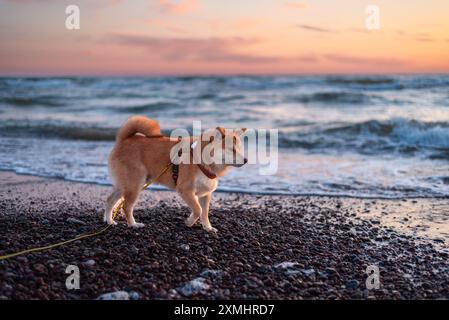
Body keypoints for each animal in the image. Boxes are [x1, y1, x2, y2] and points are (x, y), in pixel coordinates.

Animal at [103, 115, 247, 232]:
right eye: (232, 149)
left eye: (240, 149)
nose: (246, 160)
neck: (201, 159)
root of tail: (123, 139)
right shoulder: (186, 190)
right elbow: (197, 210)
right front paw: (189, 222)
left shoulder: (205, 194)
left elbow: (204, 213)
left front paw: (208, 227)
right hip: (135, 185)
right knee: (126, 206)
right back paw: (133, 224)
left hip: (125, 185)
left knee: (110, 200)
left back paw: (109, 221)